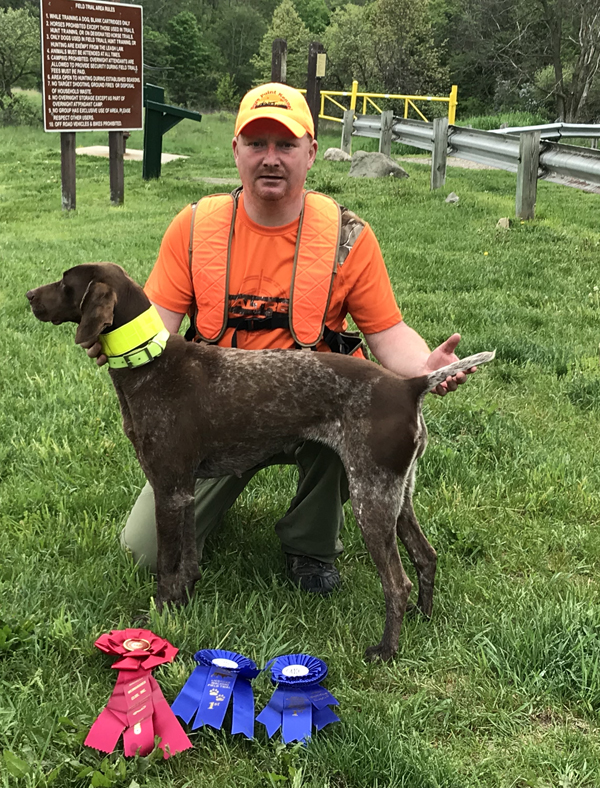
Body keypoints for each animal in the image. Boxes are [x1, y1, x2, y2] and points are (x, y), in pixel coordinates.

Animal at [27, 264, 496, 660]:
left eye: (65, 282)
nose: (29, 294)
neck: (150, 362)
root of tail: (410, 385)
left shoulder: (169, 489)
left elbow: (167, 568)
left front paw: (159, 617)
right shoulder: (185, 492)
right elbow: (189, 562)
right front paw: (185, 604)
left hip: (371, 498)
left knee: (396, 583)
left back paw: (386, 650)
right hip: (397, 495)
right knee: (426, 556)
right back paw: (423, 618)